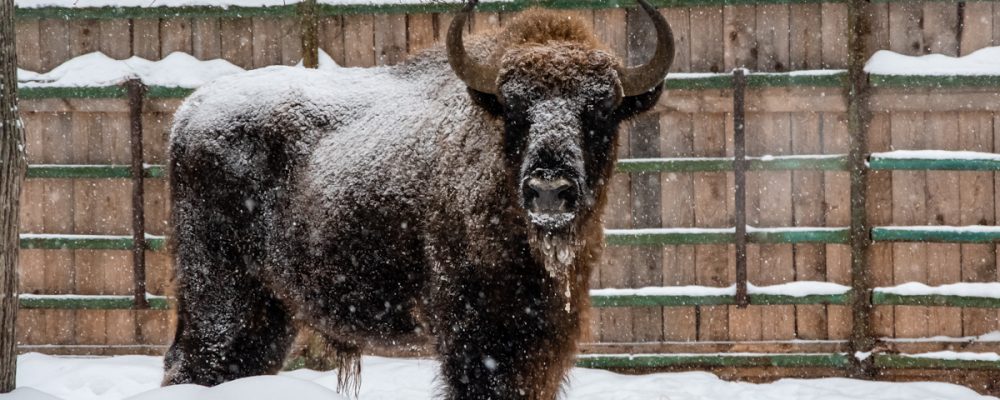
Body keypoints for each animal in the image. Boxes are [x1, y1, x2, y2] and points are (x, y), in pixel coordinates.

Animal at [164, 0, 676, 396]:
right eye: (514, 109)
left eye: (601, 109)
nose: (549, 190)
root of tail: (189, 112)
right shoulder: (476, 342)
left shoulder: (544, 342)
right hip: (219, 295)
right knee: (193, 363)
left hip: (269, 310)